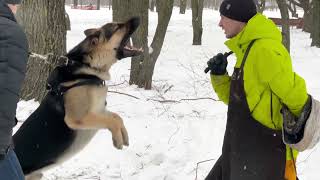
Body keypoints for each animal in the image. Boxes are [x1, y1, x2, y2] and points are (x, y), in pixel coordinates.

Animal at [13, 17, 141, 180]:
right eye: (117, 27)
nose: (137, 18)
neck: (88, 67)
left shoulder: (99, 110)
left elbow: (116, 117)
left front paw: (122, 135)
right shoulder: (78, 118)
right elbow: (113, 119)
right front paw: (118, 139)